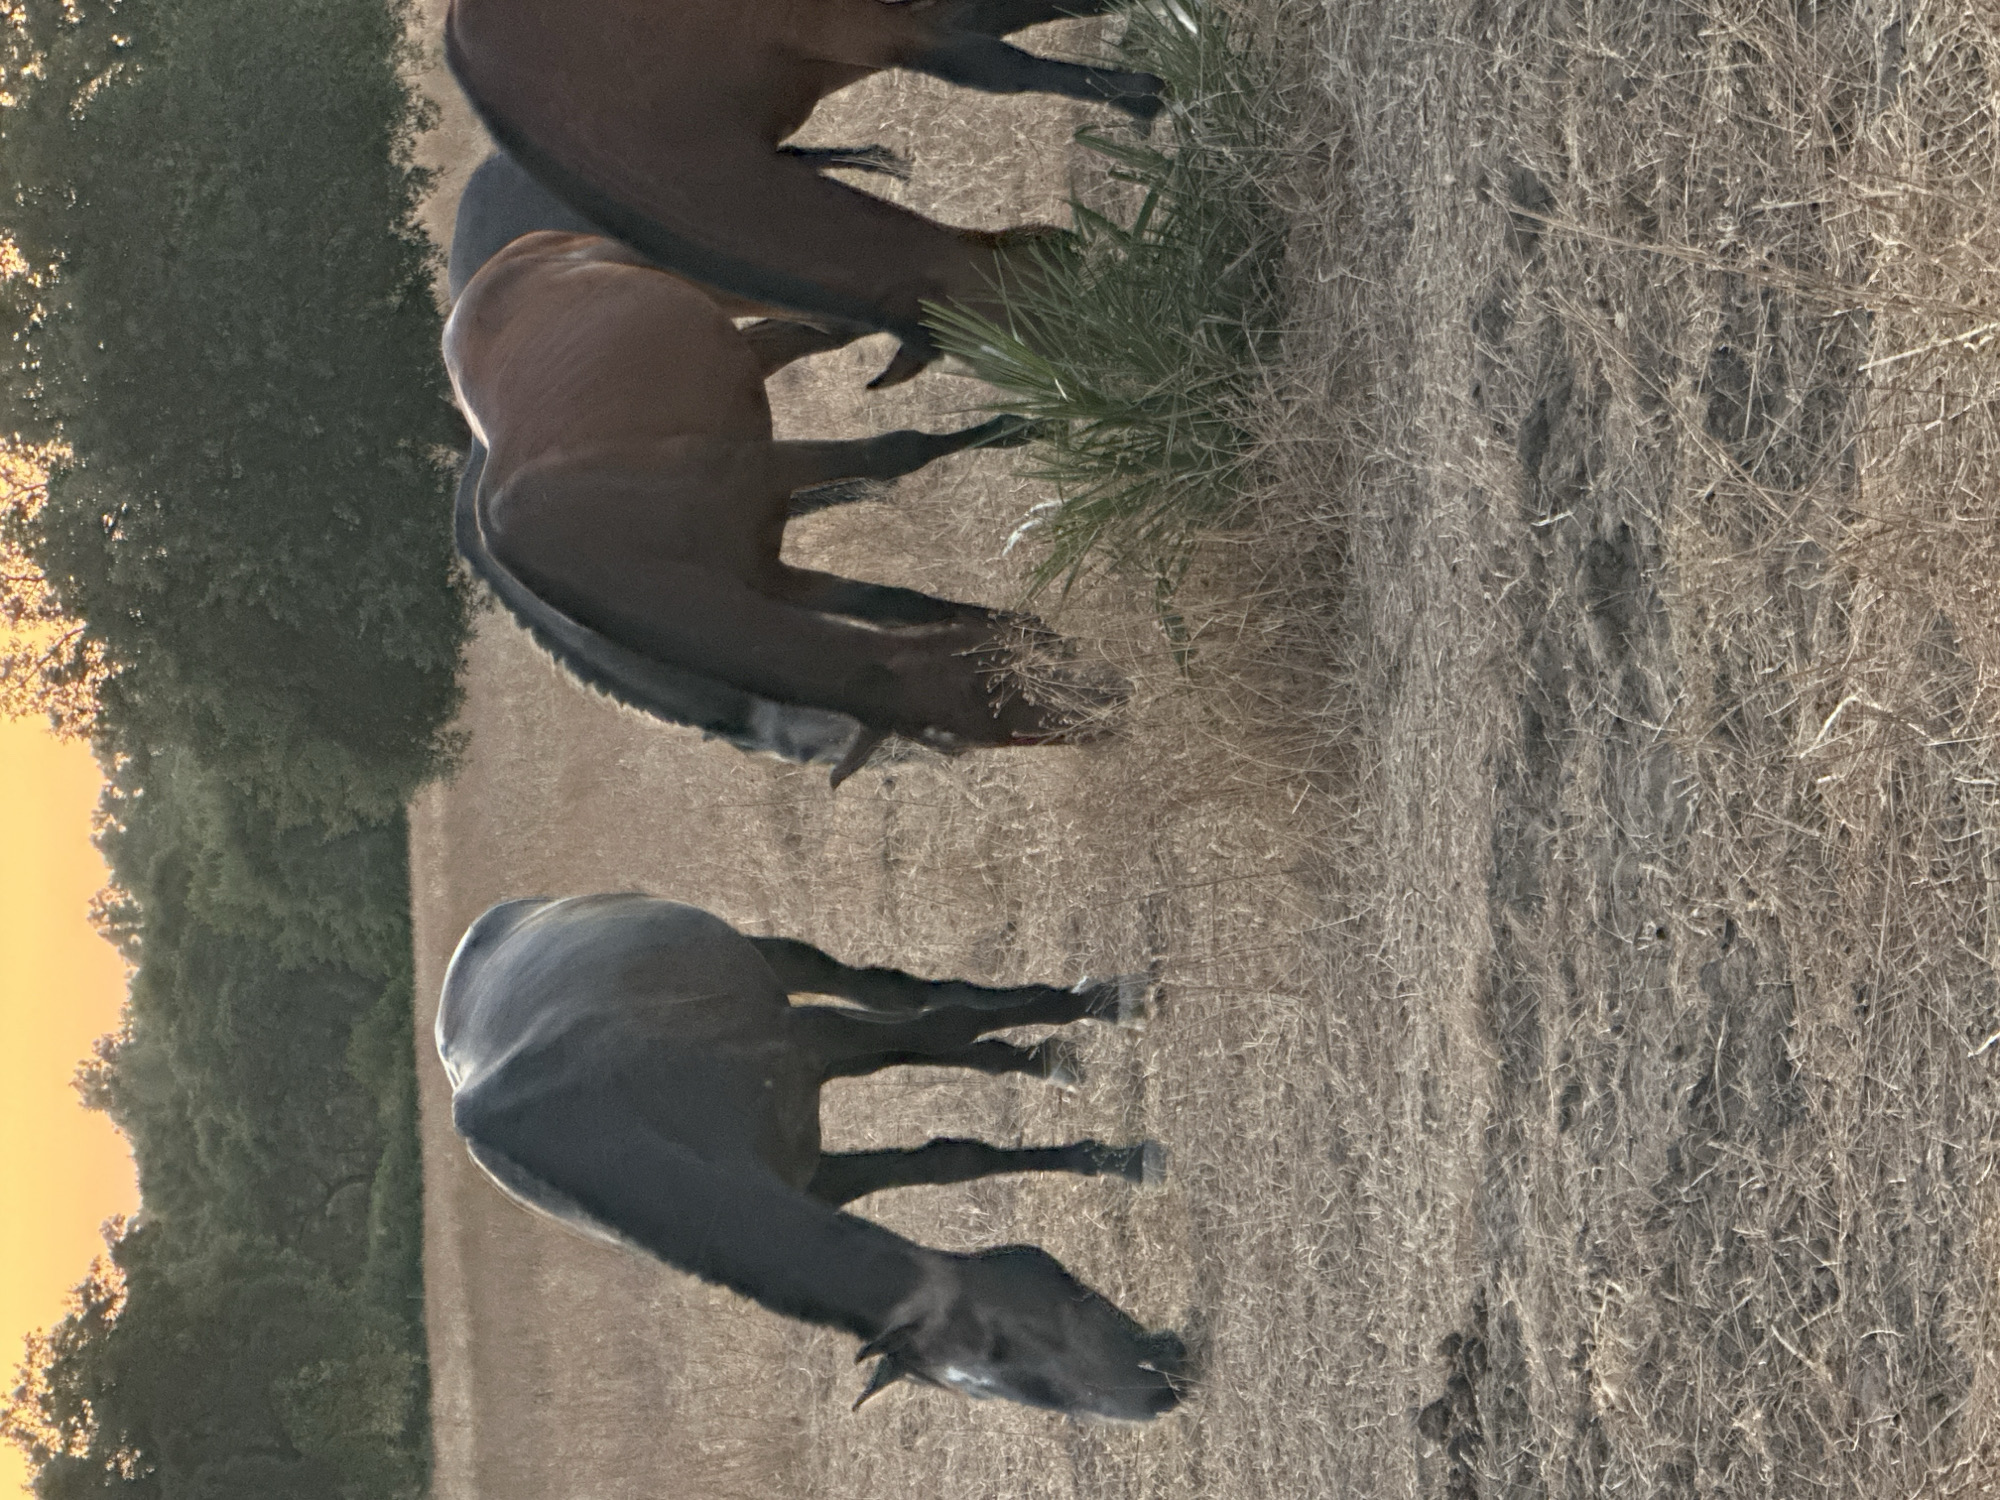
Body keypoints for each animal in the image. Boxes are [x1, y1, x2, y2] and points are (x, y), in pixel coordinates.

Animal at [438, 893, 1185, 1420]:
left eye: (1010, 1337)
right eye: (989, 1381)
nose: (1156, 1393)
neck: (615, 1111)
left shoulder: (809, 1039)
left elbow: (945, 1027)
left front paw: (1100, 1025)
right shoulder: (816, 1179)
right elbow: (949, 1159)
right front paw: (1100, 1151)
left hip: (782, 965)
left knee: (891, 993)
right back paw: (1037, 1061)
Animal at [446, 228, 1116, 773]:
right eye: (980, 698)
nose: (1107, 712)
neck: (612, 545)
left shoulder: (768, 466)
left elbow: (895, 452)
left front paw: (1022, 428)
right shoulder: (775, 581)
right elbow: (894, 604)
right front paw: (1022, 624)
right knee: (805, 335)